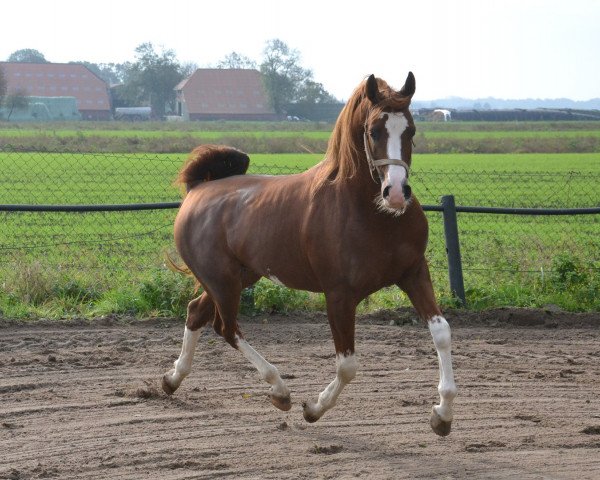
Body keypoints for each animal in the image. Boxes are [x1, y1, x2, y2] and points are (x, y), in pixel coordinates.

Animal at [162, 73, 458, 436]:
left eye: (411, 131)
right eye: (374, 131)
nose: (397, 194)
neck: (371, 214)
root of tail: (197, 190)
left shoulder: (414, 273)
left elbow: (441, 333)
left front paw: (442, 415)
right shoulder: (339, 295)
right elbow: (347, 365)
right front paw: (313, 408)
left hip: (236, 278)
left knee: (196, 313)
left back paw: (172, 380)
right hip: (222, 282)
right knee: (226, 328)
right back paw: (280, 390)